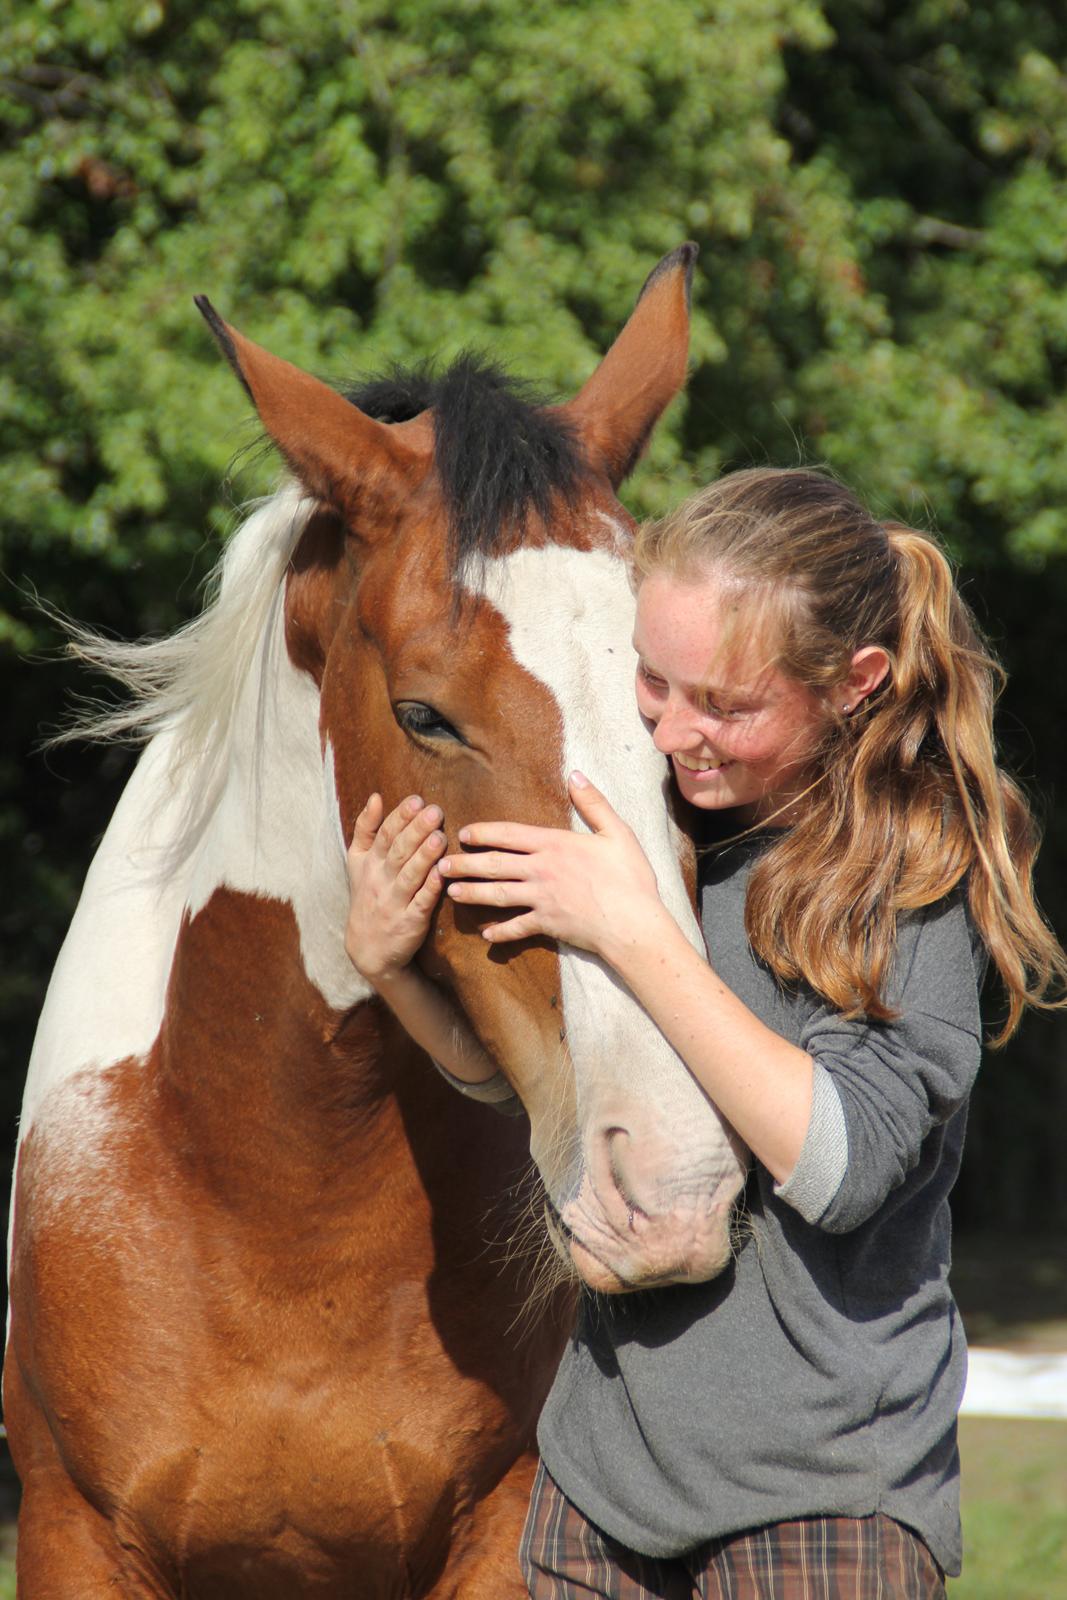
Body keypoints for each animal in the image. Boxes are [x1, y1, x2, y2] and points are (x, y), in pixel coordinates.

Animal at [4, 243, 748, 1593]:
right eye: (423, 714)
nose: (667, 1181)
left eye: (667, 716)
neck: (280, 1209)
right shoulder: (72, 1531)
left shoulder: (502, 1531)